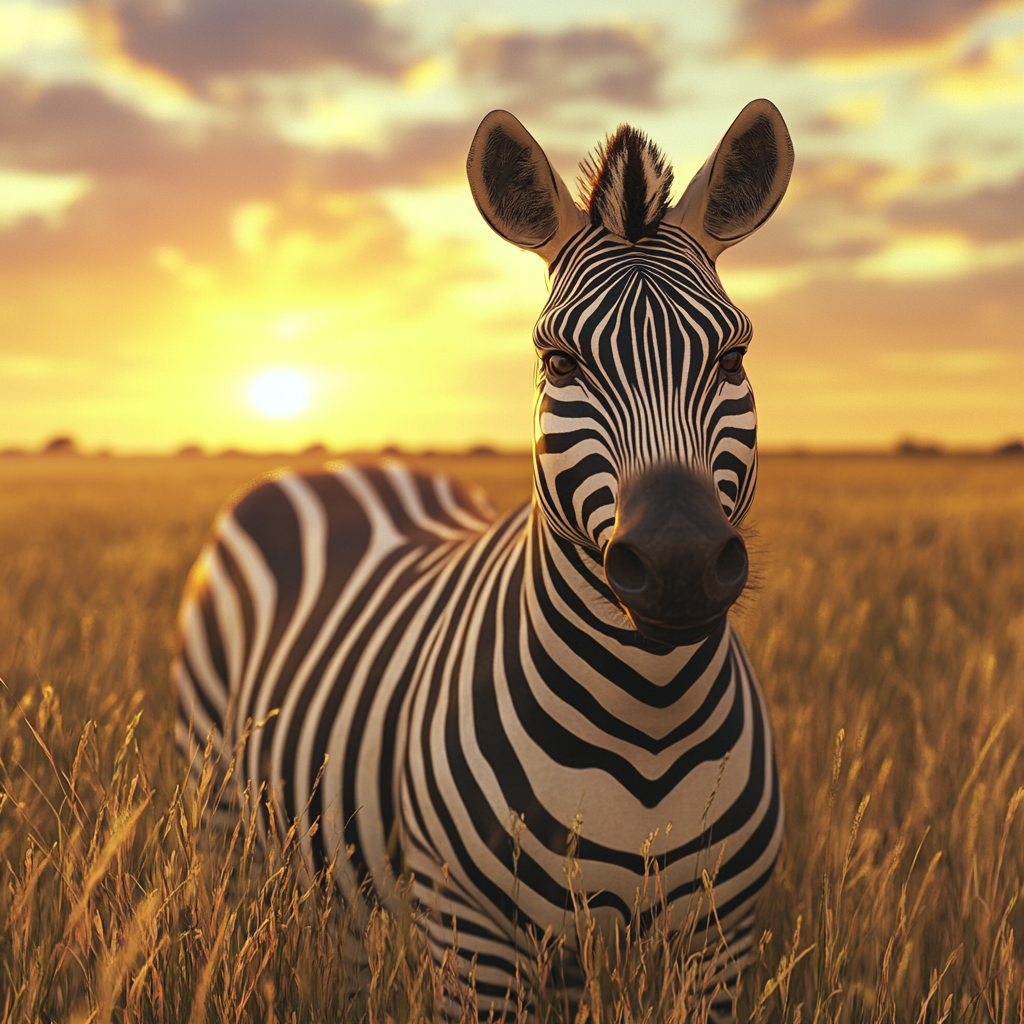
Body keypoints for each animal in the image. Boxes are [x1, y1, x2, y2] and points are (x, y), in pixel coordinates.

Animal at [174, 98, 794, 1017]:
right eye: (558, 361)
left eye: (734, 357)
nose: (678, 563)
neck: (650, 713)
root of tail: (341, 464)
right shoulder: (473, 935)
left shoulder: (723, 938)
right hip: (218, 797)